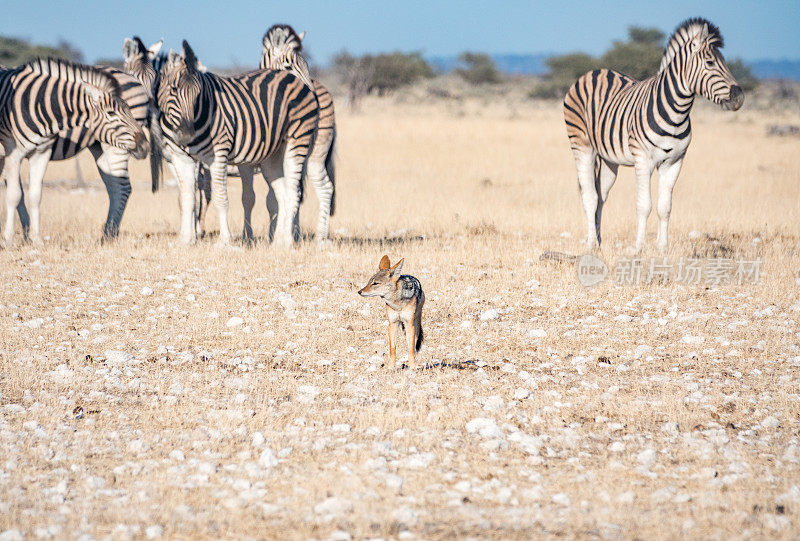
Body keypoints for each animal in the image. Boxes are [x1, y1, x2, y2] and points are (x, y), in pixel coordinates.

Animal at [0, 57, 148, 245]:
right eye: (111, 113)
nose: (145, 146)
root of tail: (133, 76)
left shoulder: (27, 152)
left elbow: (19, 194)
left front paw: (14, 238)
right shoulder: (13, 153)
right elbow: (22, 193)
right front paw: (28, 236)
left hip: (115, 147)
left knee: (122, 188)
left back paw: (109, 235)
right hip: (99, 147)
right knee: (114, 187)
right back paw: (108, 233)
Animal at [156, 41, 318, 246]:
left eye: (199, 94)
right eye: (173, 89)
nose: (186, 134)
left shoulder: (218, 156)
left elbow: (221, 198)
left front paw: (225, 241)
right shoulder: (179, 158)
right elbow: (187, 198)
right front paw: (185, 240)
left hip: (297, 145)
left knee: (293, 193)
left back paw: (288, 240)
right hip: (273, 157)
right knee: (283, 194)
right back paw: (278, 242)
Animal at [564, 17, 744, 253]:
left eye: (725, 62)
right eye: (710, 63)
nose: (739, 97)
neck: (677, 112)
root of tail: (594, 72)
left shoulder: (674, 162)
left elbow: (664, 206)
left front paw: (662, 248)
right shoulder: (643, 160)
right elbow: (644, 205)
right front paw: (639, 248)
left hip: (609, 159)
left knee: (601, 196)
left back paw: (599, 241)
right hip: (582, 146)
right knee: (590, 196)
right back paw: (592, 244)